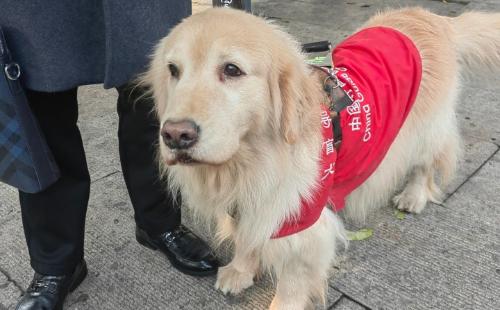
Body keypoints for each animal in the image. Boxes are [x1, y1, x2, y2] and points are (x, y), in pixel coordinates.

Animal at [140, 7, 500, 310]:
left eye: (231, 69)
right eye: (173, 70)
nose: (175, 135)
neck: (250, 158)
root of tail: (432, 16)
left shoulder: (301, 219)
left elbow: (292, 280)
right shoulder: (252, 202)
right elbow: (246, 237)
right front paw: (240, 270)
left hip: (424, 129)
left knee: (427, 163)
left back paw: (413, 196)